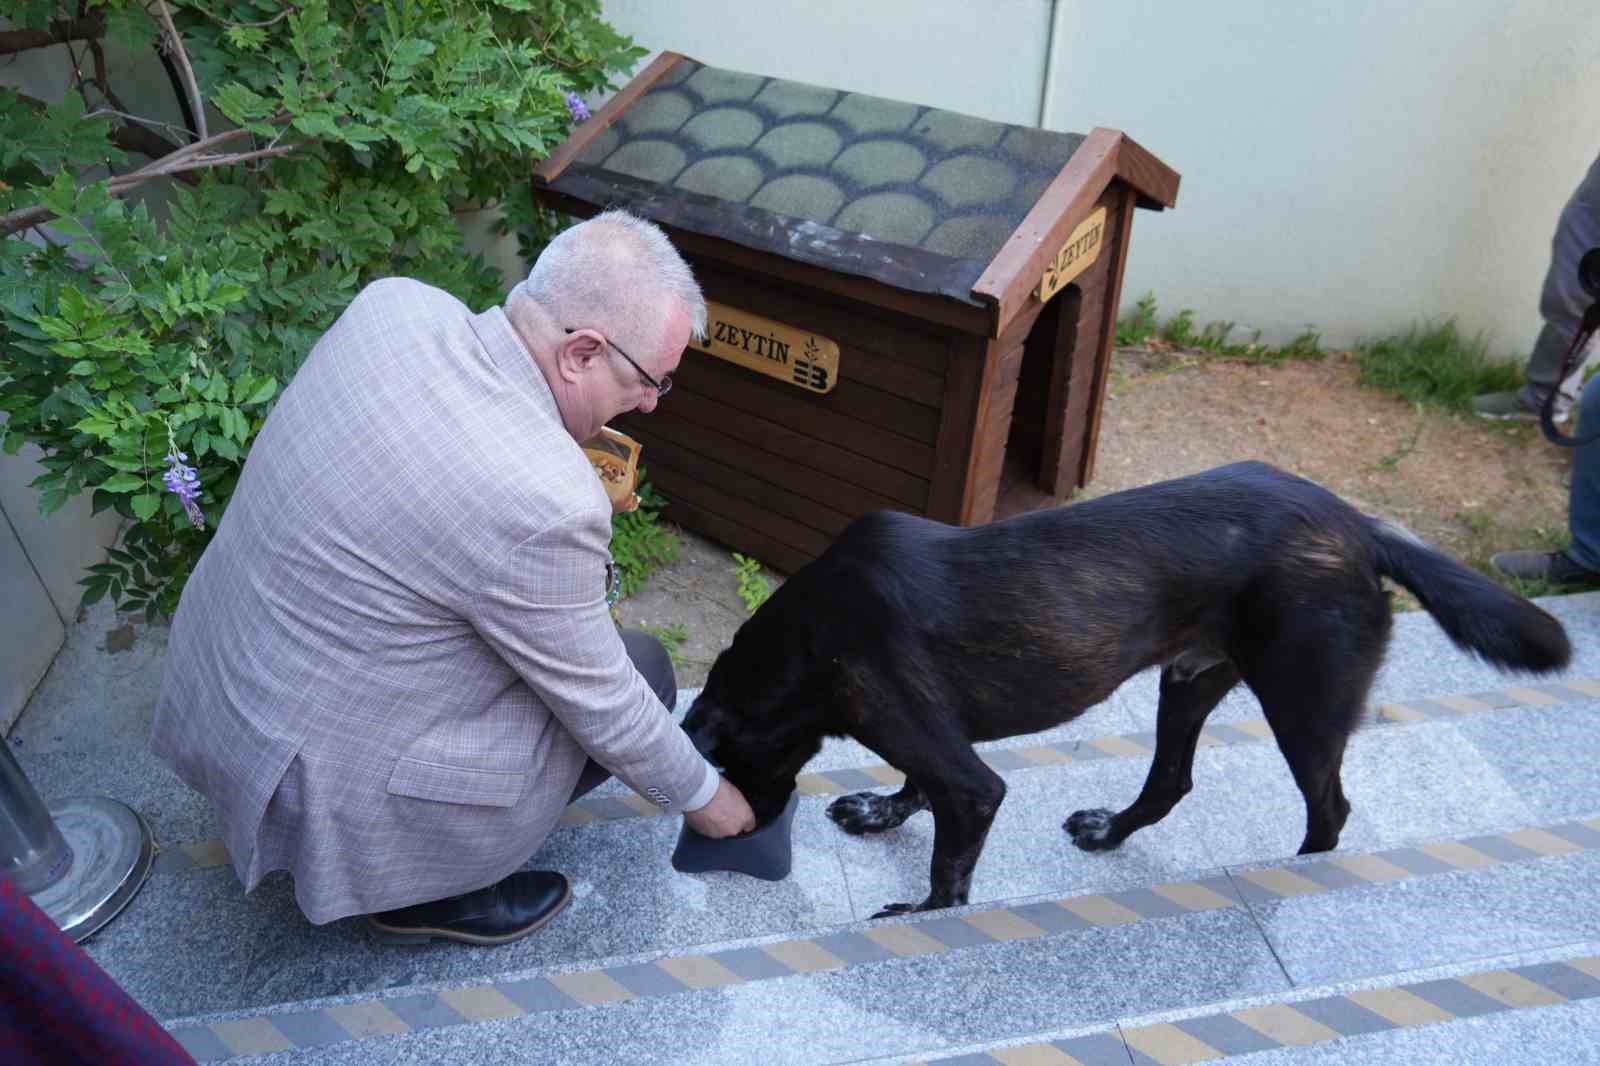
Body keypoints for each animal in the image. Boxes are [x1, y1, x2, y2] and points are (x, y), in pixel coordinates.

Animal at [681, 457, 1568, 915]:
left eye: (728, 769)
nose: (746, 827)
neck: (807, 640)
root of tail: (1360, 526)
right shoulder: (933, 739)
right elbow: (914, 787)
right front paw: (881, 811)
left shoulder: (966, 778)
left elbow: (946, 864)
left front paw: (925, 915)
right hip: (1190, 680)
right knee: (1172, 780)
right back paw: (1112, 832)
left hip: (1304, 702)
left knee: (1331, 810)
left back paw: (1292, 870)